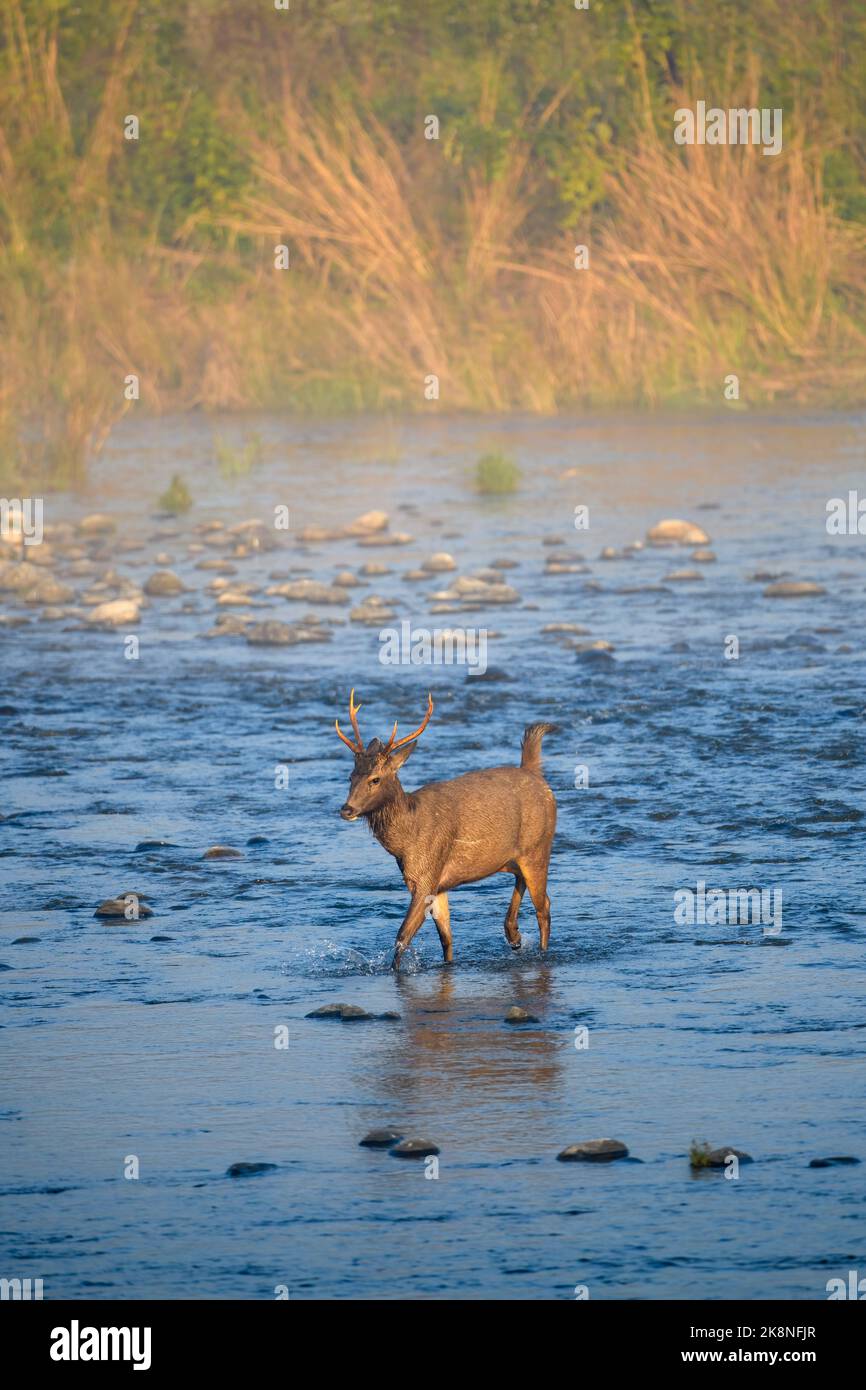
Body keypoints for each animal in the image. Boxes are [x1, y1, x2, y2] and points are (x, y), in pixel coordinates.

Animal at [335, 689, 558, 973]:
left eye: (375, 779)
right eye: (350, 776)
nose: (347, 809)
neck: (406, 839)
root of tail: (535, 773)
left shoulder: (427, 875)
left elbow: (402, 936)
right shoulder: (433, 883)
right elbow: (446, 939)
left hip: (539, 848)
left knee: (544, 906)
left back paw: (539, 951)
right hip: (516, 855)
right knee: (522, 884)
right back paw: (513, 934)